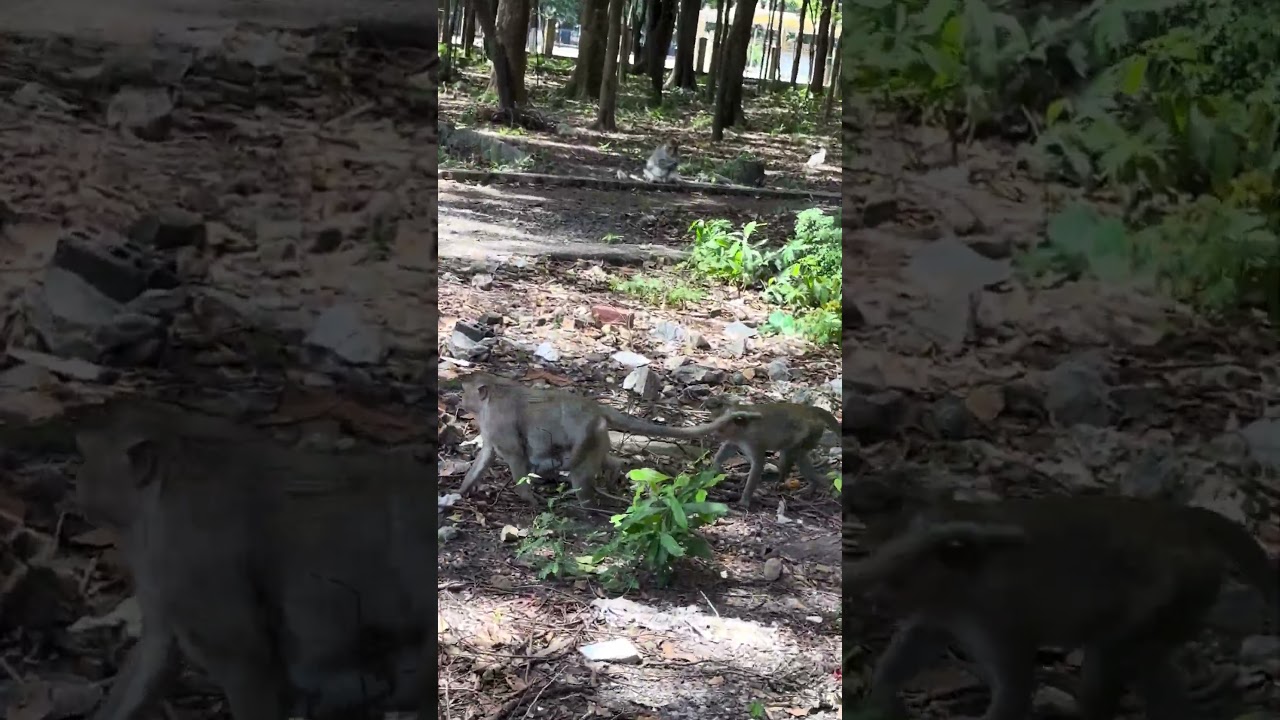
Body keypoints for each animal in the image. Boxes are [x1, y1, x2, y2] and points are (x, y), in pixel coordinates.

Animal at [457, 371, 760, 507]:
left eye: (464, 390)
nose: (459, 399)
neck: (492, 394)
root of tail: (597, 409)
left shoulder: (498, 421)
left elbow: (516, 455)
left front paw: (528, 498)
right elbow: (485, 456)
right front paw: (461, 490)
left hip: (590, 434)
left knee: (579, 471)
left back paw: (586, 503)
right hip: (599, 437)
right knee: (602, 460)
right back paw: (613, 473)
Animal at [709, 402, 841, 509]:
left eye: (721, 424)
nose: (713, 433)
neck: (743, 429)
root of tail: (810, 410)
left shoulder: (754, 441)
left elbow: (758, 465)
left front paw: (744, 500)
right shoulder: (737, 438)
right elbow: (728, 447)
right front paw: (717, 466)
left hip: (809, 433)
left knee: (791, 452)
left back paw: (785, 479)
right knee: (799, 456)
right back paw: (814, 484)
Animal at [844, 495, 1279, 720]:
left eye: (896, 577)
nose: (874, 597)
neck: (964, 584)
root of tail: (1183, 523)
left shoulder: (999, 619)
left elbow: (1016, 688)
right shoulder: (945, 611)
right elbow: (916, 642)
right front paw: (882, 697)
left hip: (1178, 591)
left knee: (1120, 651)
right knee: (1141, 659)